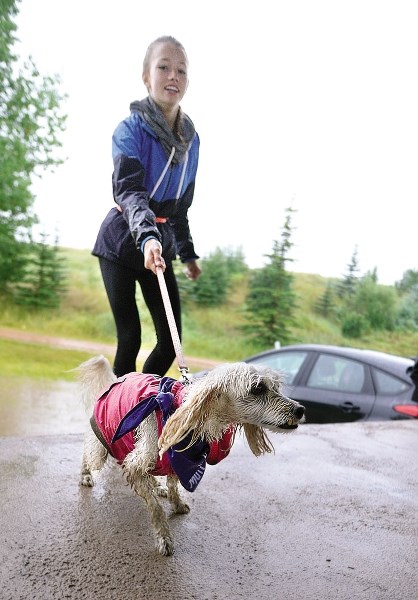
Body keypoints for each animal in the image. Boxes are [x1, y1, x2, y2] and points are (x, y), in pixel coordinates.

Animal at [76, 354, 304, 556]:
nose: (300, 409)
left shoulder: (179, 462)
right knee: (88, 453)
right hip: (101, 447)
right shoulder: (137, 464)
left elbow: (173, 484)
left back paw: (156, 485)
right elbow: (155, 508)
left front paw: (175, 502)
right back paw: (86, 475)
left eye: (276, 387)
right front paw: (164, 538)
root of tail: (115, 381)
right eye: (257, 388)